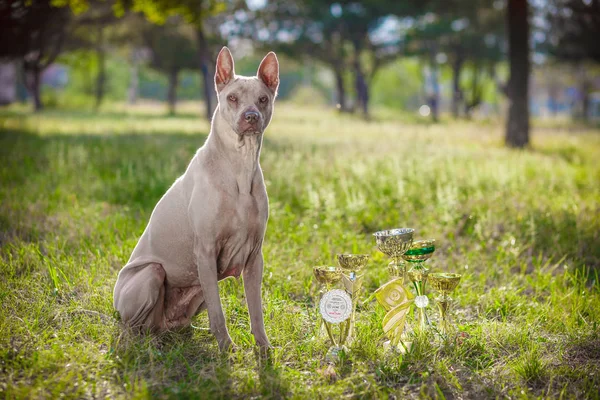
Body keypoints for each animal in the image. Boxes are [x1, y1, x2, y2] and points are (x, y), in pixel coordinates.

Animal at [112, 47, 276, 354]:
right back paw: (145, 343)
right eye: (232, 98)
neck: (239, 165)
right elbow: (218, 312)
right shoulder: (207, 251)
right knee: (132, 326)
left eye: (263, 99)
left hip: (194, 291)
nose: (251, 116)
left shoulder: (254, 256)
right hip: (151, 274)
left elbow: (256, 310)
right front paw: (226, 348)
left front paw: (263, 348)